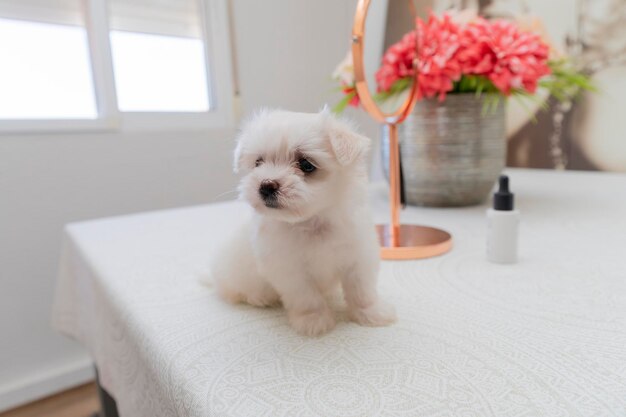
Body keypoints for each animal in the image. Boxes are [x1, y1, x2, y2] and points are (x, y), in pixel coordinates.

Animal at [211, 109, 394, 336]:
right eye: (258, 163)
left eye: (306, 165)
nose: (266, 185)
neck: (312, 222)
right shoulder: (290, 271)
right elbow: (307, 297)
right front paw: (314, 320)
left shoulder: (359, 256)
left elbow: (362, 289)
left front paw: (372, 313)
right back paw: (259, 298)